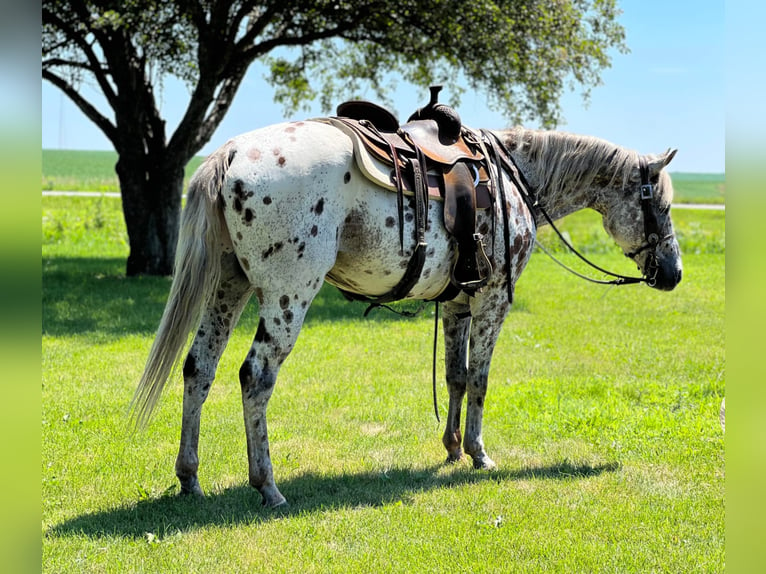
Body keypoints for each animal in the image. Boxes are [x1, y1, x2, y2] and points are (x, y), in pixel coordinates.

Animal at [132, 119, 684, 506]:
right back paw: (267, 485)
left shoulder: (458, 303)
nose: (674, 273)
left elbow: (456, 377)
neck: (514, 179)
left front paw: (452, 447)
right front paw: (479, 454)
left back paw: (189, 478)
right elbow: (480, 379)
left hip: (229, 286)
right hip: (287, 295)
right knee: (255, 376)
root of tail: (229, 152)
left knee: (198, 368)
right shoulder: (493, 301)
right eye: (660, 205)